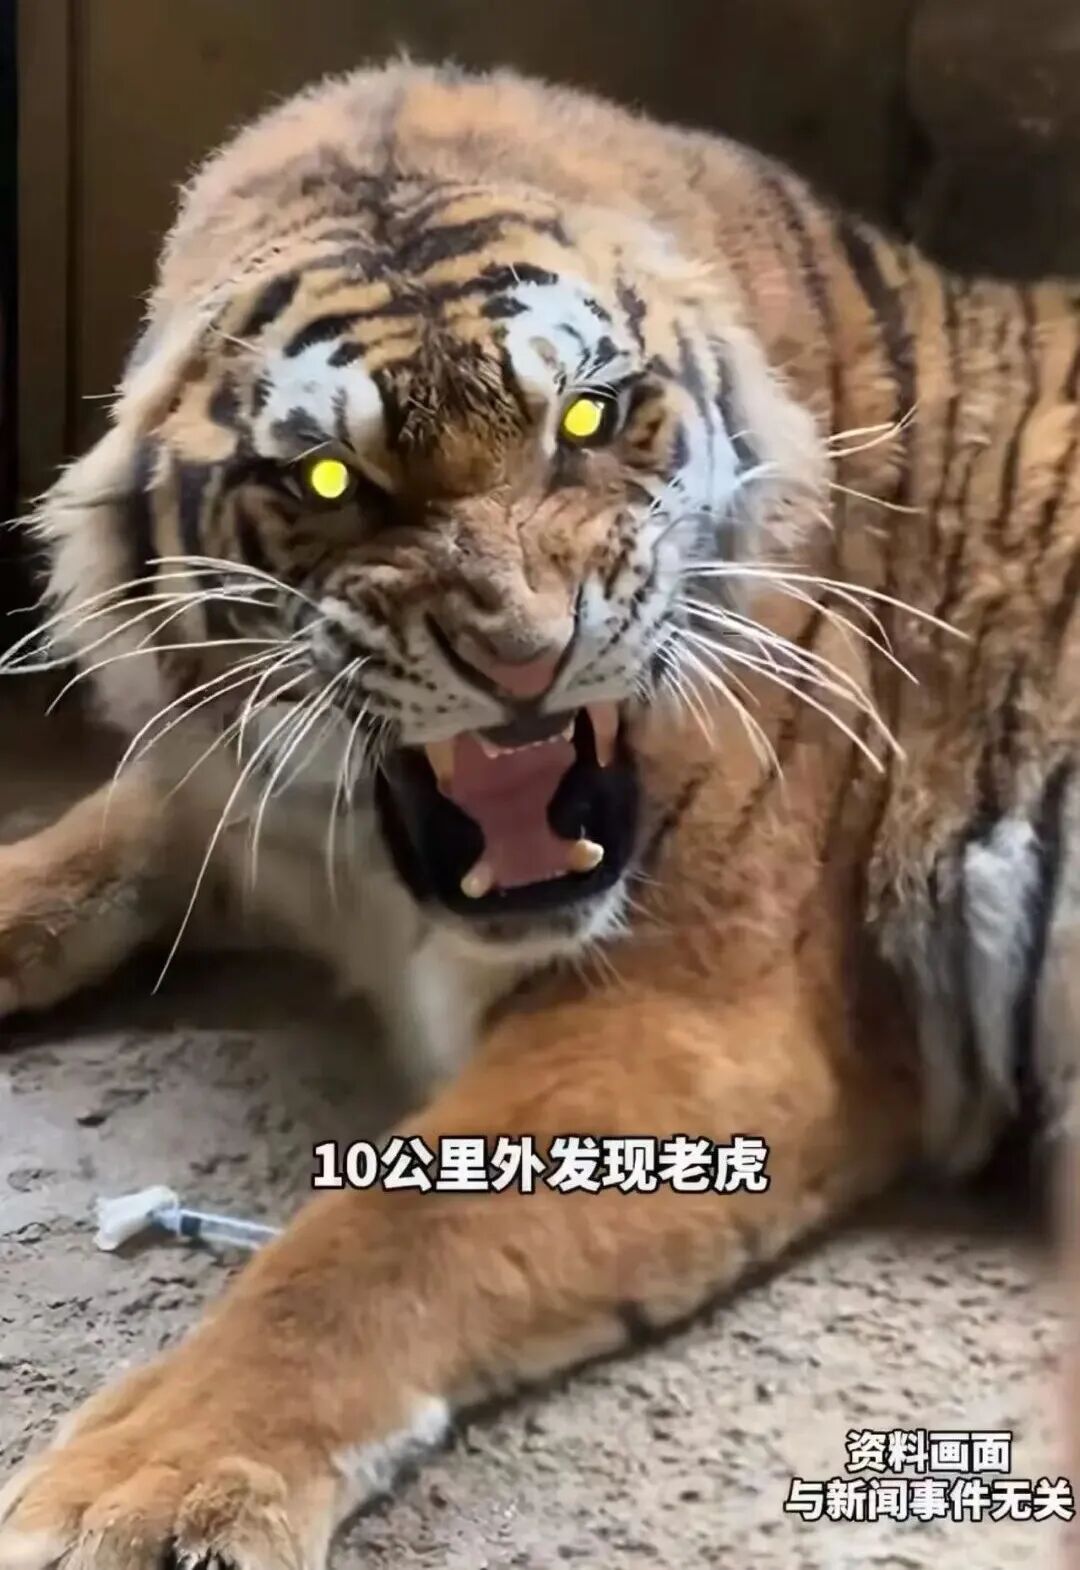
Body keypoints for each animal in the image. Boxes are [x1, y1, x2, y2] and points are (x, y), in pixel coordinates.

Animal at [0, 57, 1077, 1570]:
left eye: (586, 420)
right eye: (331, 479)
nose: (525, 653)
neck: (358, 860)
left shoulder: (694, 1011)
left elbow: (373, 1238)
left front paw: (144, 1491)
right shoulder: (224, 801)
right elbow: (65, 865)